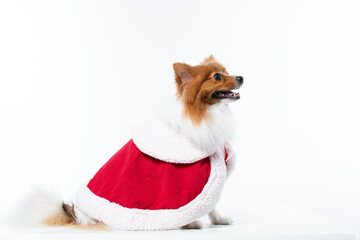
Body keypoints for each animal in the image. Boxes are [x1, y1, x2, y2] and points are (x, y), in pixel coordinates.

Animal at [38, 55, 245, 231]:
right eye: (217, 77)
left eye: (227, 71)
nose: (241, 77)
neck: (206, 113)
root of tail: (78, 214)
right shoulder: (194, 173)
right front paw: (191, 224)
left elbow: (211, 204)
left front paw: (219, 220)